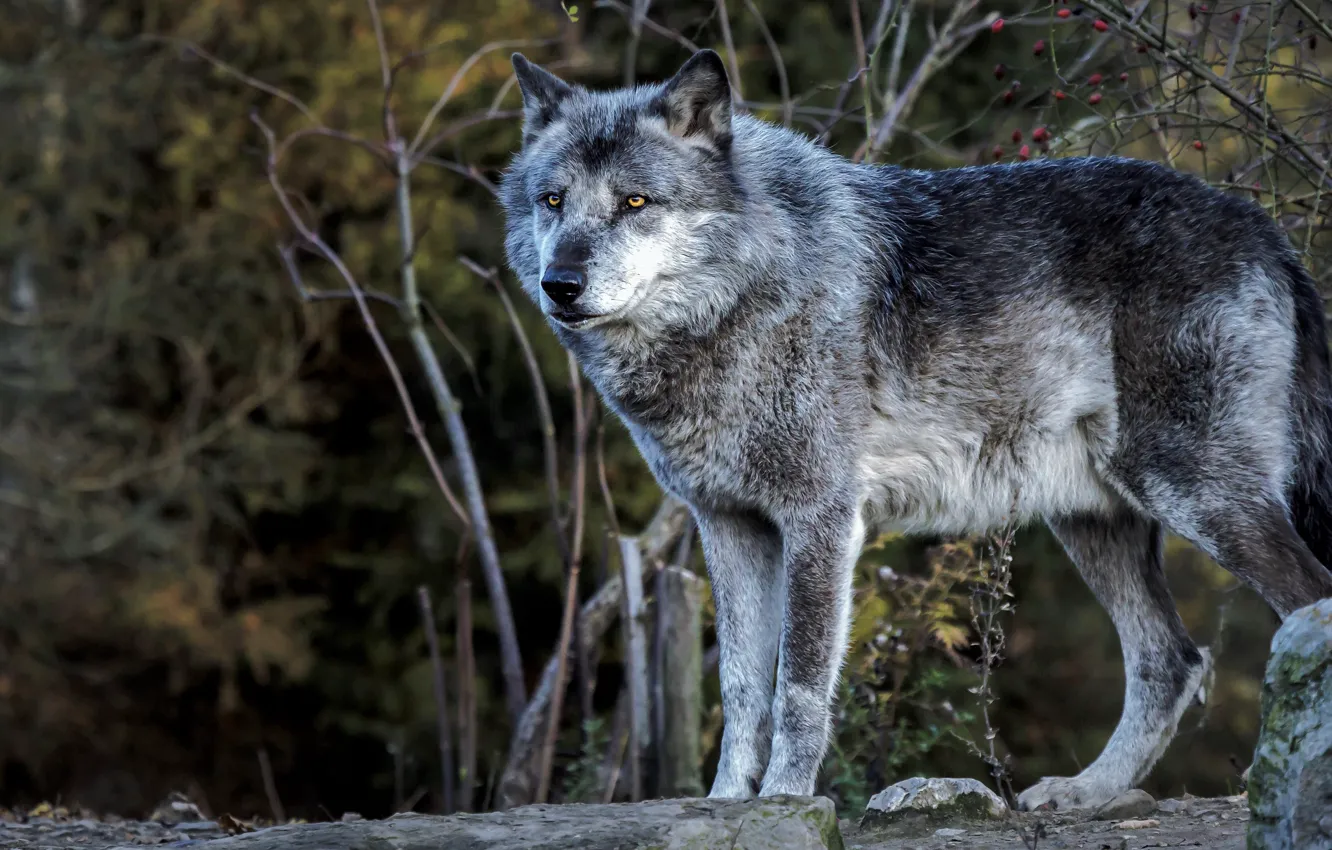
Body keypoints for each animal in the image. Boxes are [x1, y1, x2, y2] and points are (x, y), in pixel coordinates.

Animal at [499, 48, 1332, 810]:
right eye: (553, 200)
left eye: (636, 201)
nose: (560, 284)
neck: (747, 291)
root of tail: (1263, 228)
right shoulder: (729, 524)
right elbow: (740, 688)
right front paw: (728, 804)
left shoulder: (822, 519)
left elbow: (799, 686)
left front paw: (785, 803)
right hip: (1094, 518)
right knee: (1171, 661)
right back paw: (1088, 792)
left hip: (1192, 491)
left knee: (1300, 606)